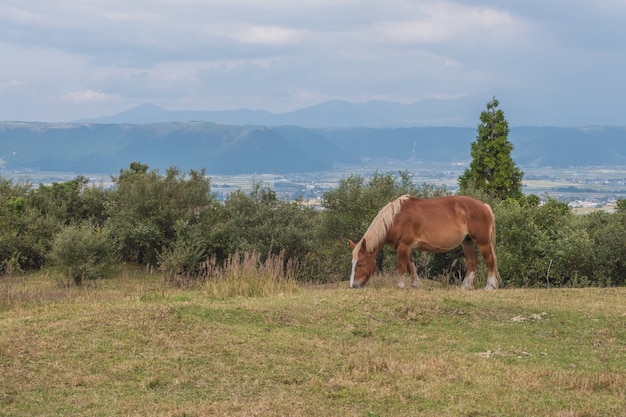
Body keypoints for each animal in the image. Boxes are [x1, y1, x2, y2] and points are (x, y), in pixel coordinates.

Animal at [348, 195, 500, 290]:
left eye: (360, 264)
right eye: (353, 263)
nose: (354, 285)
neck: (396, 218)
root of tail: (484, 206)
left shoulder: (404, 246)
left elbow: (401, 266)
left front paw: (400, 285)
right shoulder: (406, 247)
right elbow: (410, 266)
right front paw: (416, 284)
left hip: (482, 242)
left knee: (489, 261)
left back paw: (489, 286)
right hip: (467, 242)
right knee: (472, 262)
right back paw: (465, 286)